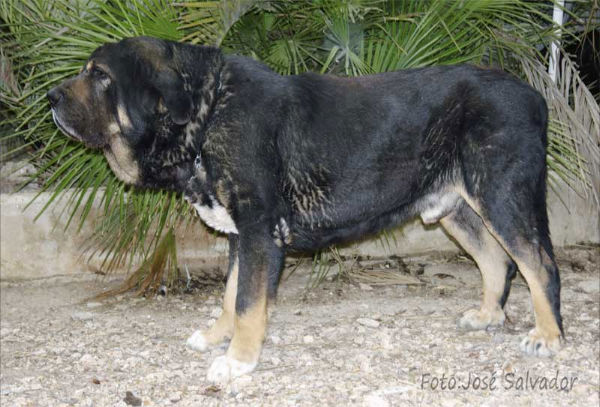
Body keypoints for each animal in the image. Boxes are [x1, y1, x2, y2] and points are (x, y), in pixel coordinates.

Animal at [47, 35, 564, 382]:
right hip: (457, 207)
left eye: (100, 76)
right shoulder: (241, 236)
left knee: (538, 264)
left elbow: (249, 302)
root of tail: (535, 96)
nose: (50, 97)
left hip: (502, 196)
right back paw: (489, 316)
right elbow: (231, 296)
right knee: (497, 261)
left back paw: (549, 337)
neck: (207, 112)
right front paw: (218, 337)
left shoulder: (260, 232)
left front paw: (238, 360)